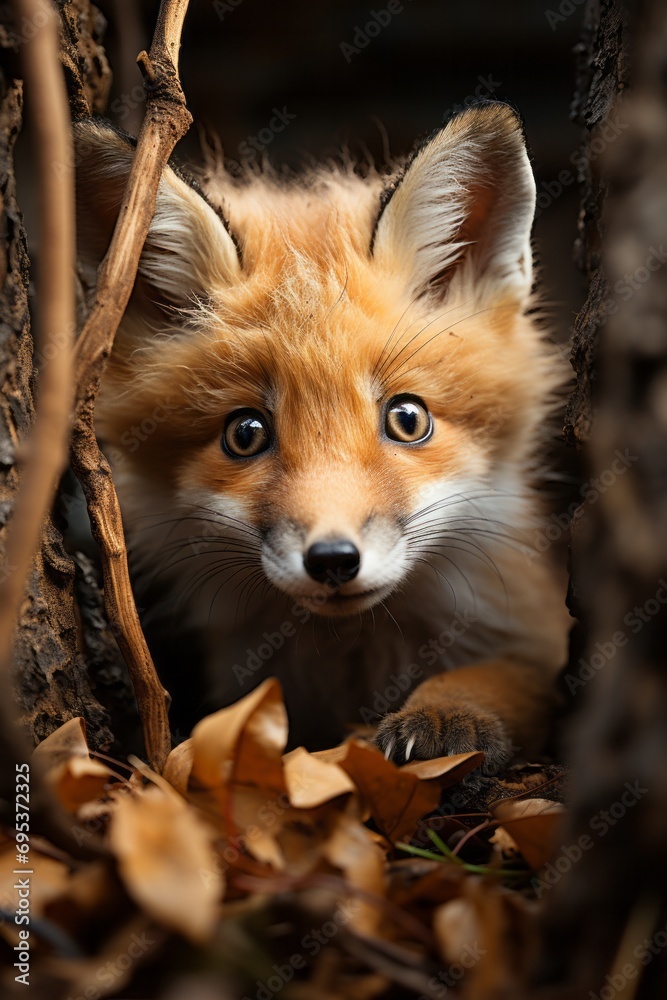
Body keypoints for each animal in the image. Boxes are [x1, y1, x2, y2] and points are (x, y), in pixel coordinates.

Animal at [74, 103, 570, 769]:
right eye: (246, 434)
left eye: (408, 420)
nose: (333, 561)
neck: (354, 653)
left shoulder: (537, 632)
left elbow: (511, 677)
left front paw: (449, 708)